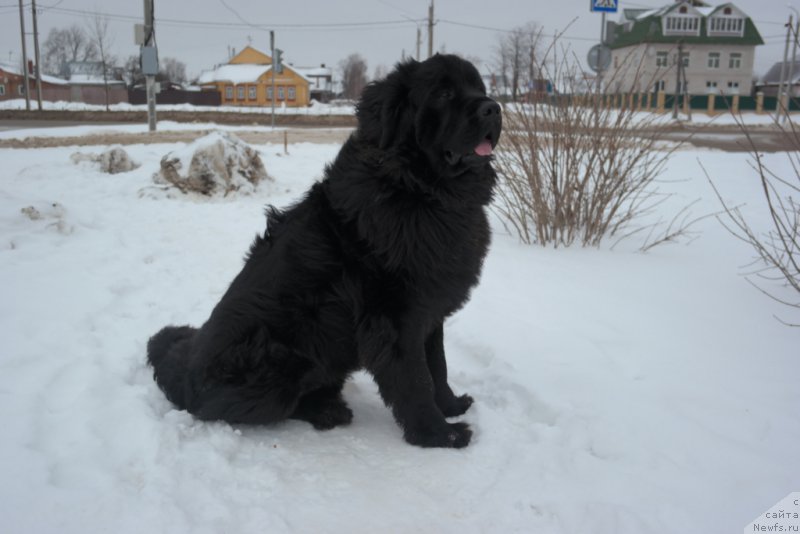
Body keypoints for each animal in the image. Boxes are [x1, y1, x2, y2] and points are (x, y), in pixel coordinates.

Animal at [145, 55, 500, 448]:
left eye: (479, 88)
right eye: (443, 93)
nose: (493, 107)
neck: (420, 190)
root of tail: (186, 373)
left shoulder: (430, 309)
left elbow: (438, 365)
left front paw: (451, 405)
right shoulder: (395, 317)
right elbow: (417, 379)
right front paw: (439, 434)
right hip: (278, 363)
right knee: (229, 408)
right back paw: (326, 411)